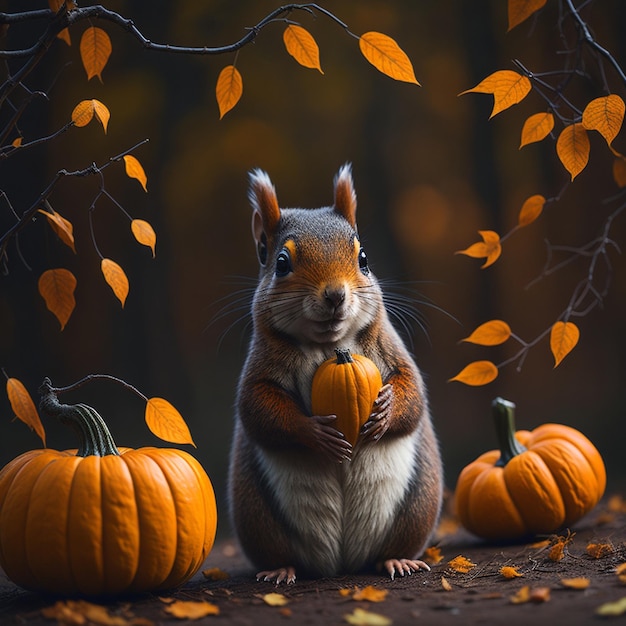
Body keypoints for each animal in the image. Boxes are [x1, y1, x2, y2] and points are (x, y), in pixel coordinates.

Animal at [227, 163, 442, 584]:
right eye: (281, 263)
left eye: (363, 258)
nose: (335, 295)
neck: (331, 347)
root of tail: (340, 563)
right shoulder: (258, 369)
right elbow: (258, 409)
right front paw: (315, 433)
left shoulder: (391, 348)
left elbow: (413, 393)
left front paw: (385, 412)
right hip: (257, 515)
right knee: (281, 553)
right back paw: (281, 570)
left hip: (416, 507)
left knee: (392, 548)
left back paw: (397, 561)